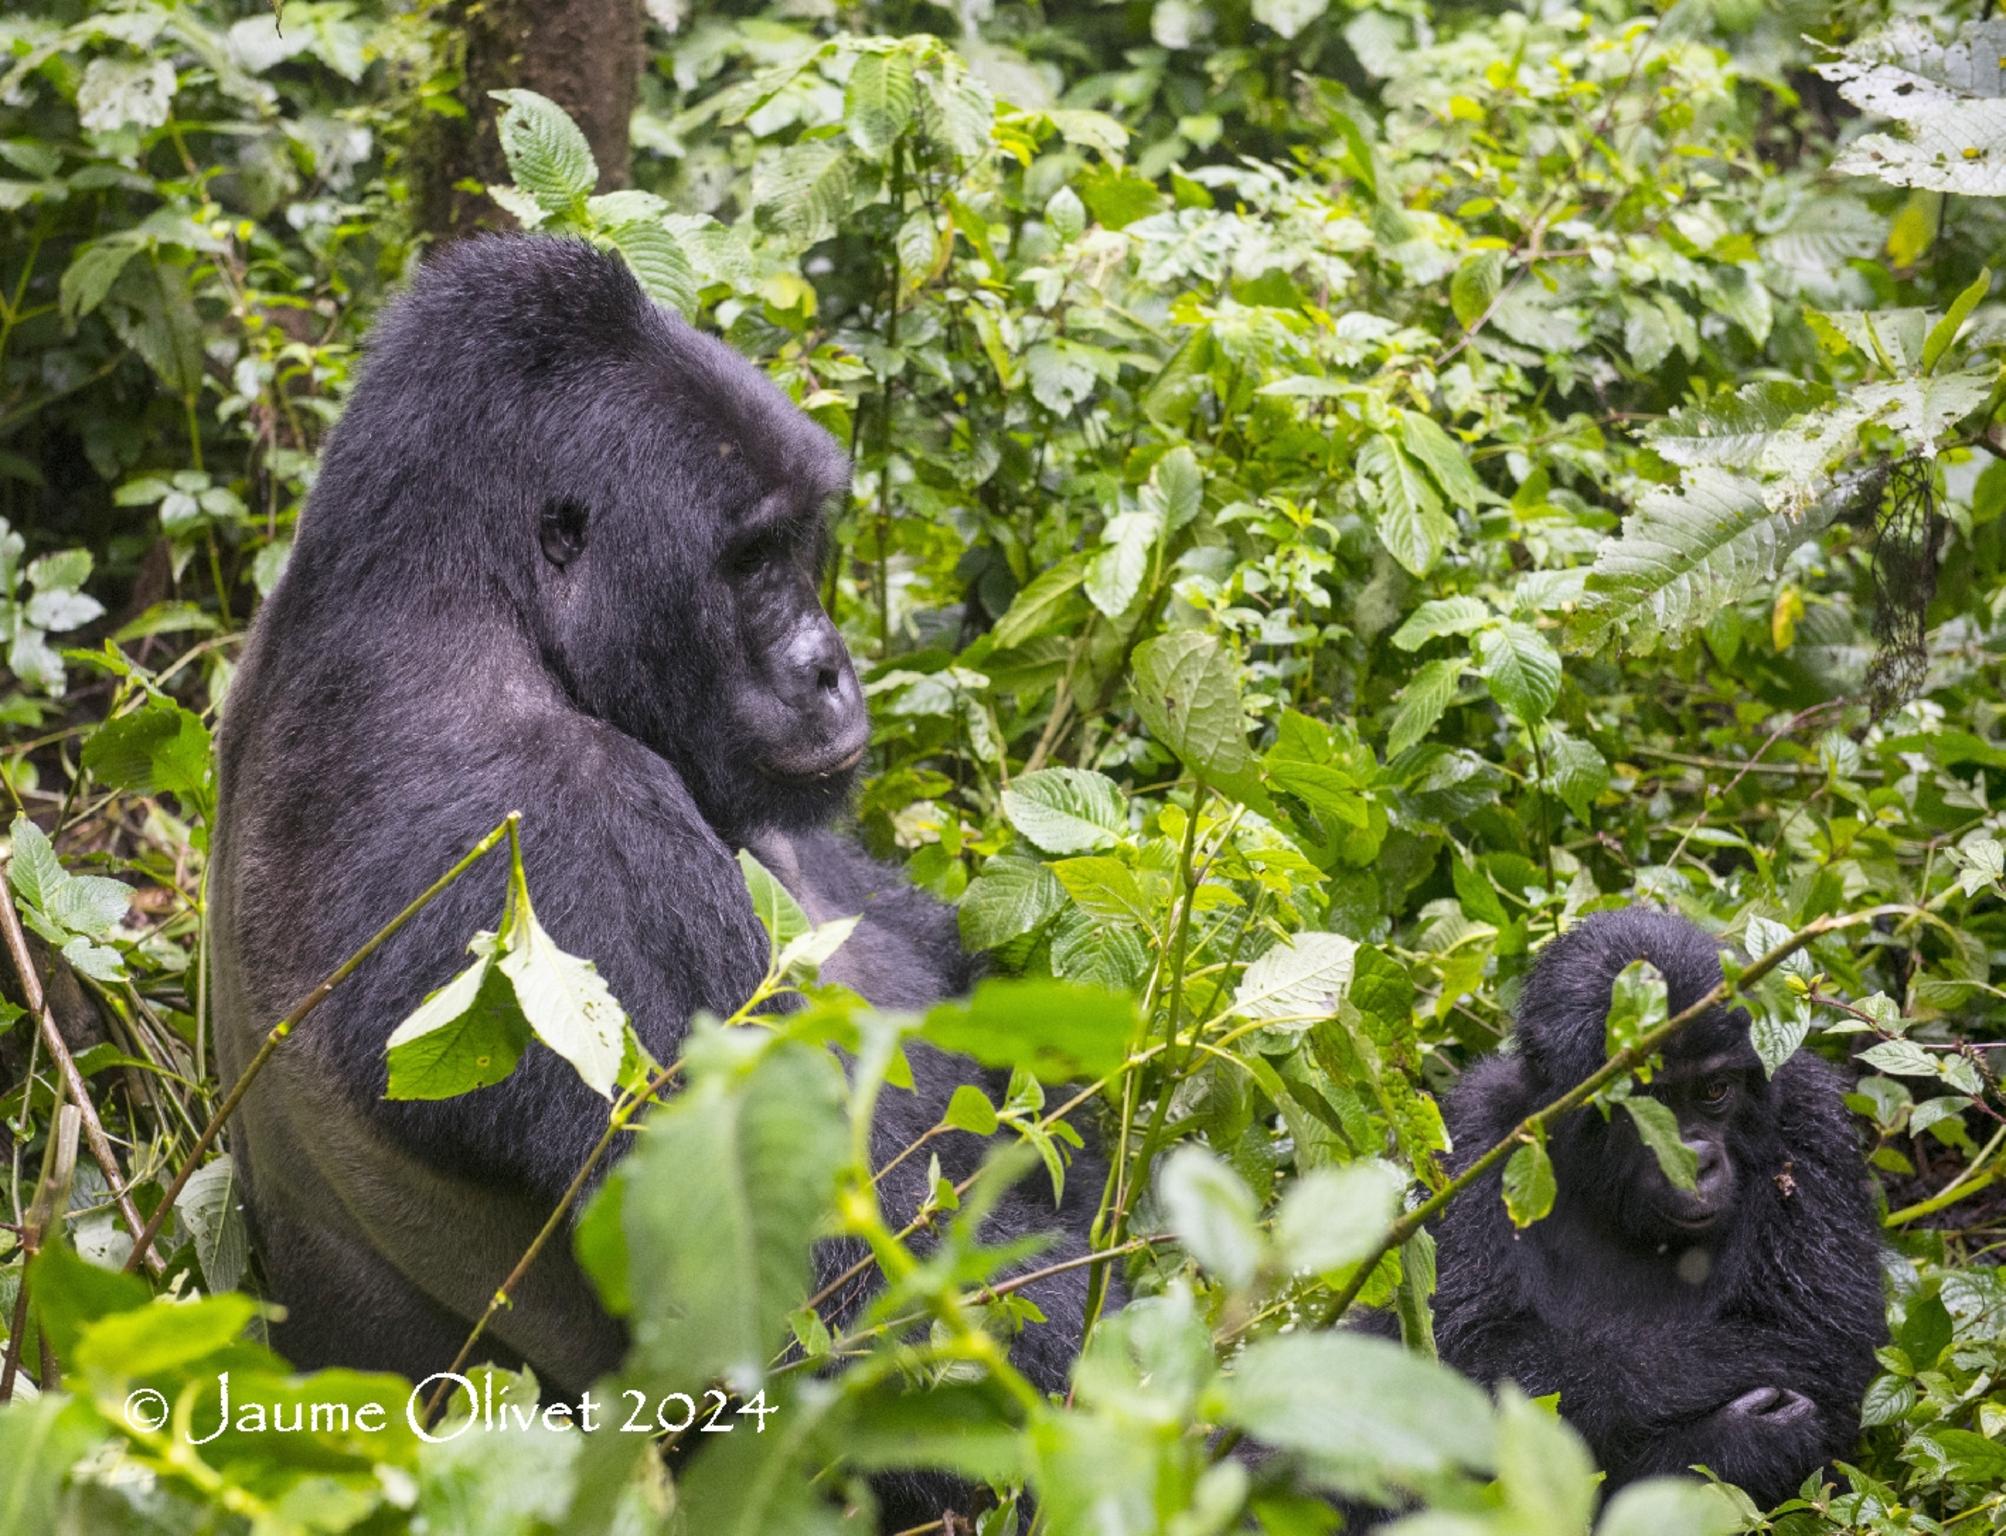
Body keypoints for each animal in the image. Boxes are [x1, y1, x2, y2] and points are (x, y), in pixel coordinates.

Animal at [207, 234, 1099, 1435]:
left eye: (799, 542)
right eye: (749, 561)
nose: (829, 667)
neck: (461, 595)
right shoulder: (575, 835)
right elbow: (855, 1318)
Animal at [1428, 906, 1877, 1507]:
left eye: (1715, 1090)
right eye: (1646, 1102)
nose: (1695, 1162)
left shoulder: (1811, 1118)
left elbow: (1818, 1337)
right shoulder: (1475, 1136)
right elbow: (1471, 1356)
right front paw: (1738, 1441)